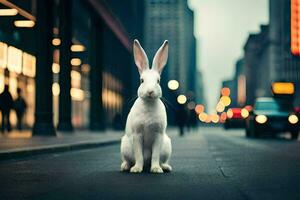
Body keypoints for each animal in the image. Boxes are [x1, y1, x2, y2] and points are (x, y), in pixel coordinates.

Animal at [119, 39, 171, 173]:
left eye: (158, 81)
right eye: (141, 80)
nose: (150, 91)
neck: (149, 103)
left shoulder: (158, 135)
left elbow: (155, 155)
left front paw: (156, 169)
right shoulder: (137, 135)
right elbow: (139, 155)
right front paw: (136, 169)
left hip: (167, 146)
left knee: (162, 160)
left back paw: (165, 167)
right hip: (125, 146)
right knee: (128, 160)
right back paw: (125, 167)